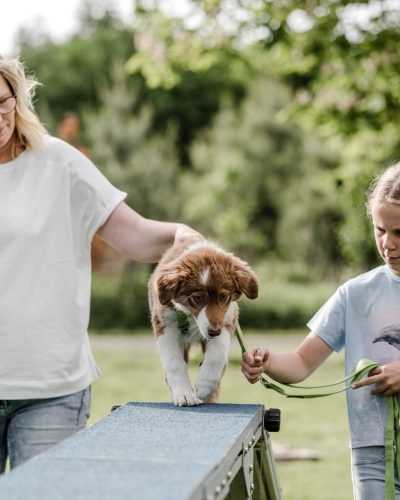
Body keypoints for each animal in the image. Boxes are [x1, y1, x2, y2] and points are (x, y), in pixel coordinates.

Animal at [148, 238, 258, 406]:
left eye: (223, 297)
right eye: (198, 298)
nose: (214, 332)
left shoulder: (227, 319)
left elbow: (216, 354)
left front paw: (204, 386)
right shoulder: (165, 324)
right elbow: (174, 363)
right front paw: (184, 394)